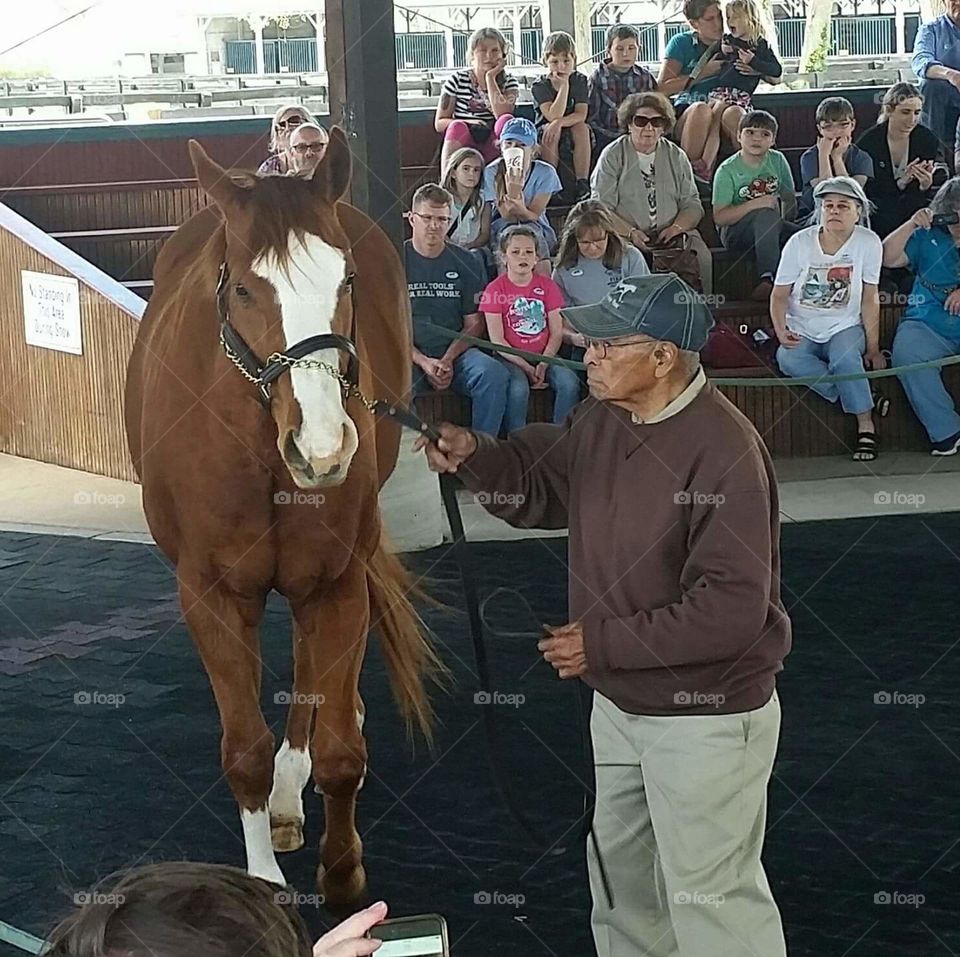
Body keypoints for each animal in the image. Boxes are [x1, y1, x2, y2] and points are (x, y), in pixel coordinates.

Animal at [124, 133, 438, 904]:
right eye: (243, 287)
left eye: (345, 279)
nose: (321, 447)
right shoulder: (209, 595)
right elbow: (244, 750)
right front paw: (262, 881)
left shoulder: (337, 581)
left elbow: (340, 751)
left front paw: (343, 867)